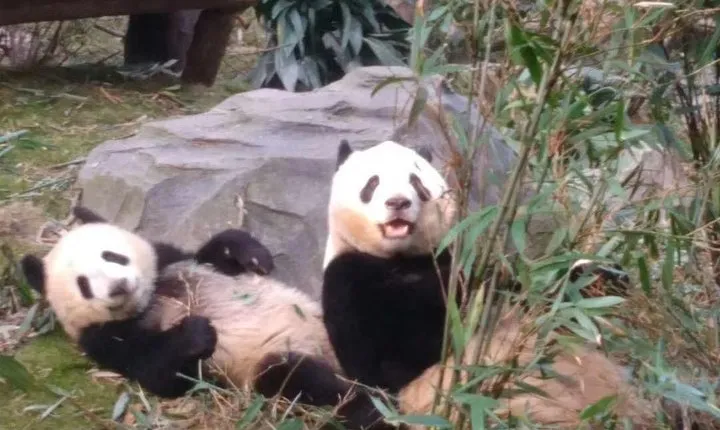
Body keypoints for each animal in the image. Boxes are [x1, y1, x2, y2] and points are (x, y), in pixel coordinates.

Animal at [20, 207, 392, 430]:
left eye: (111, 256)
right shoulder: (104, 339)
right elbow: (159, 373)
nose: (118, 286)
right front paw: (196, 333)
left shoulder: (171, 262)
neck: (148, 301)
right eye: (83, 284)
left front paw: (250, 253)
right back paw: (368, 407)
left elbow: (209, 256)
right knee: (297, 376)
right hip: (272, 365)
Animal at [321, 140, 656, 429]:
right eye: (372, 183)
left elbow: (538, 301)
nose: (398, 202)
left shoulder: (467, 263)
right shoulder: (348, 281)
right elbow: (394, 357)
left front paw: (601, 276)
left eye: (416, 182)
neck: (401, 258)